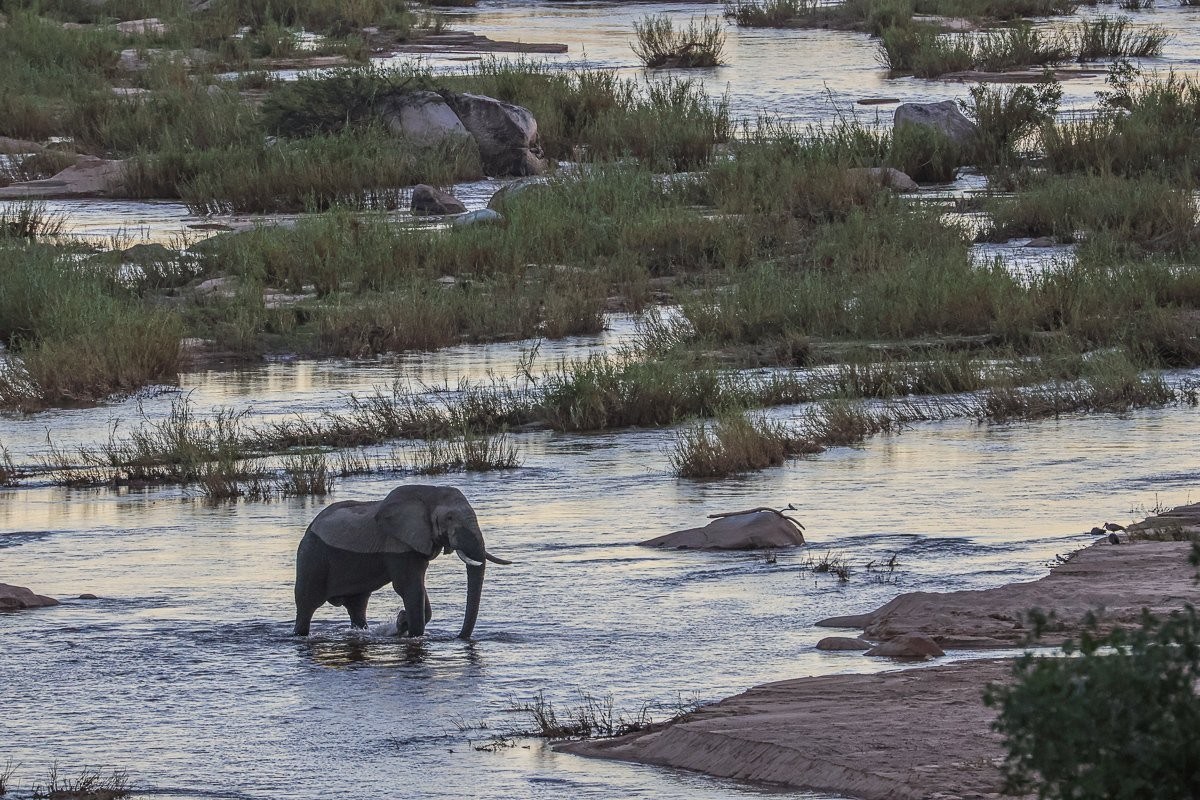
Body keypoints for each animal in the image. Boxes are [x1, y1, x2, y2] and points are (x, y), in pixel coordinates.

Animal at [293, 485, 510, 638]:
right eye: (449, 518)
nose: (459, 637)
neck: (429, 493)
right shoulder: (398, 544)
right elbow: (408, 587)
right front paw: (408, 628)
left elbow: (418, 589)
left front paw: (401, 622)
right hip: (311, 557)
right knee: (307, 604)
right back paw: (299, 634)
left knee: (357, 606)